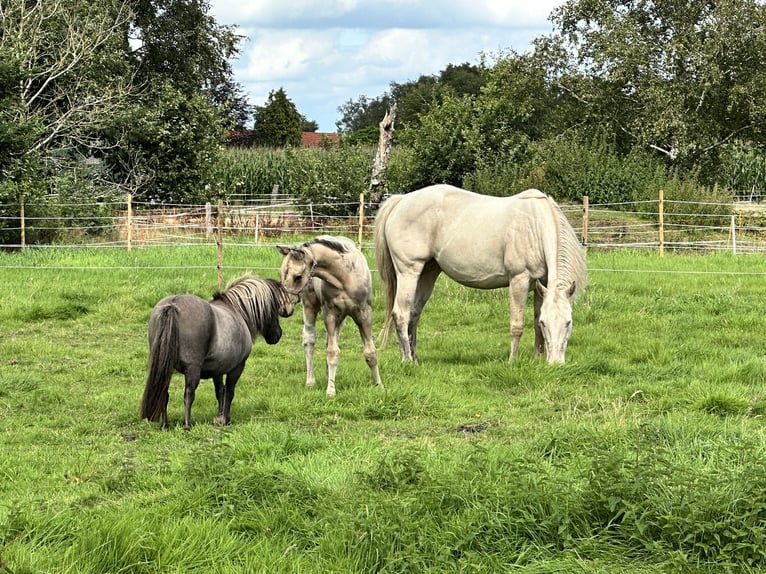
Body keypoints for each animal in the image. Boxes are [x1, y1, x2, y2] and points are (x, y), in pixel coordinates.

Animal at [139, 274, 293, 430]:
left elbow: (220, 391)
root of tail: (172, 305)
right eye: (274, 308)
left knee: (164, 394)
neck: (237, 311)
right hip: (192, 369)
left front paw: (219, 417)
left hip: (166, 368)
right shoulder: (237, 368)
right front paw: (226, 419)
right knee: (189, 394)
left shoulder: (217, 370)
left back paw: (165, 425)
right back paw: (187, 425)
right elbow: (229, 392)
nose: (278, 335)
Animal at [276, 235, 383, 396]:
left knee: (329, 340)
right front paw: (331, 391)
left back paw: (328, 376)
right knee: (309, 340)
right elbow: (333, 352)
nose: (284, 309)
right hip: (310, 306)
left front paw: (379, 385)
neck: (345, 276)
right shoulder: (330, 313)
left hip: (341, 318)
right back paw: (311, 381)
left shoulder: (364, 313)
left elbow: (370, 352)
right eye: (281, 273)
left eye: (297, 276)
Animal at [374, 184, 587, 364]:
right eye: (546, 323)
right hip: (408, 272)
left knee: (414, 313)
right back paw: (407, 360)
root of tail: (401, 200)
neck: (535, 225)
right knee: (400, 314)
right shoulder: (519, 279)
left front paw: (537, 358)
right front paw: (512, 361)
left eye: (568, 322)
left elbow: (534, 324)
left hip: (427, 273)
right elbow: (517, 325)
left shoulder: (540, 284)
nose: (556, 363)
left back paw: (415, 358)